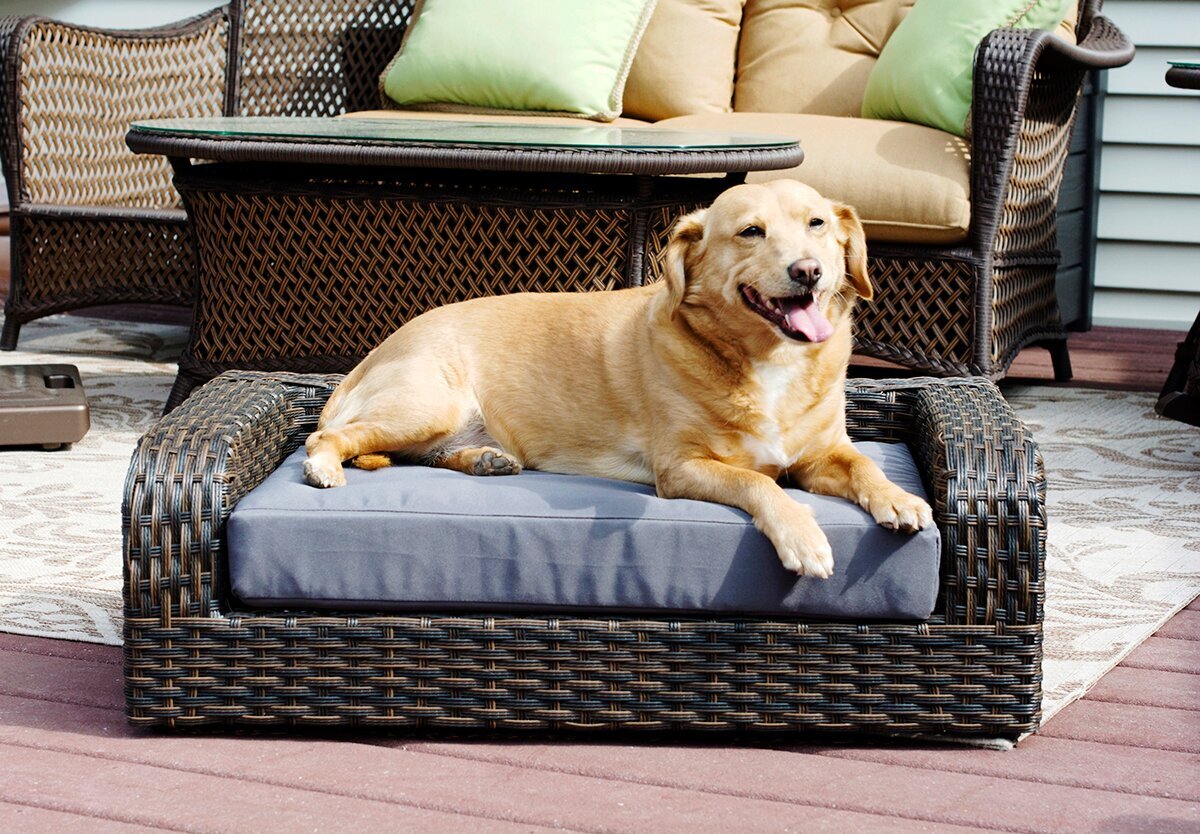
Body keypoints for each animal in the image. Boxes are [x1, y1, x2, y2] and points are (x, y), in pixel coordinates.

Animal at [304, 180, 931, 578]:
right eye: (751, 232)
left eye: (817, 224)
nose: (809, 271)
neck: (766, 360)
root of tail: (373, 353)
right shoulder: (682, 469)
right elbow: (761, 484)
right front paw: (803, 536)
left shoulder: (823, 454)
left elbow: (865, 465)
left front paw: (898, 498)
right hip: (428, 404)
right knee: (326, 436)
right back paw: (324, 467)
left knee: (422, 453)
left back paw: (485, 460)